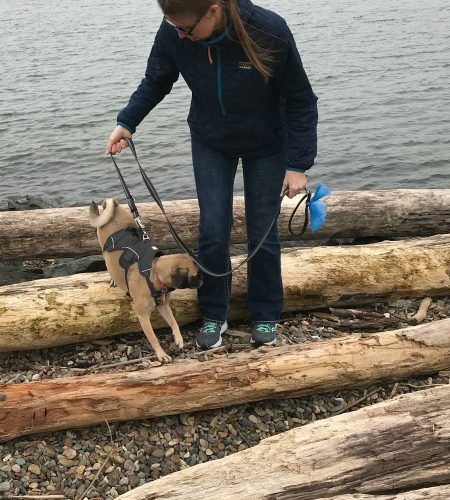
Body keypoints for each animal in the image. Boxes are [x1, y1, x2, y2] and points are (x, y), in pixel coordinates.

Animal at [90, 198, 202, 363]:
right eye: (196, 275)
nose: (202, 279)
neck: (153, 272)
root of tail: (113, 206)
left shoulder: (164, 306)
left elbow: (174, 322)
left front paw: (179, 338)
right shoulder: (143, 317)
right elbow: (153, 338)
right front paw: (161, 354)